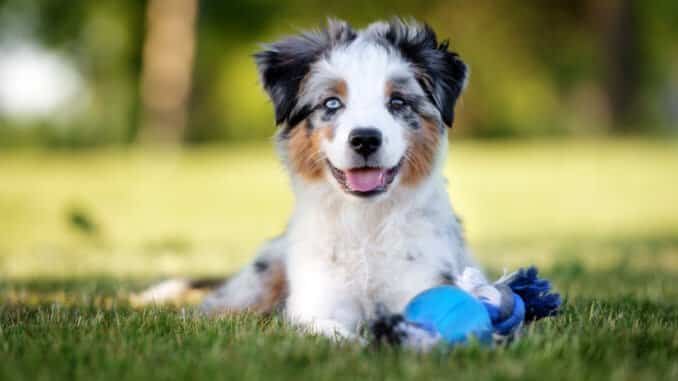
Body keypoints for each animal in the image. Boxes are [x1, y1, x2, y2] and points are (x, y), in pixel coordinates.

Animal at [142, 17, 484, 338]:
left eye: (397, 102)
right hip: (257, 281)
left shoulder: (421, 282)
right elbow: (330, 332)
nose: (365, 139)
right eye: (331, 103)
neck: (365, 223)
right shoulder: (315, 304)